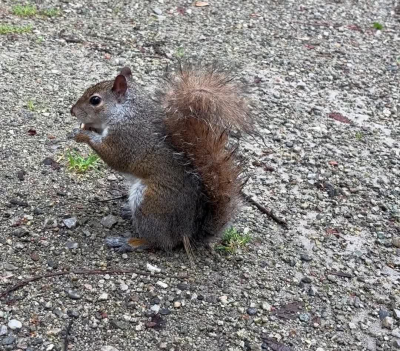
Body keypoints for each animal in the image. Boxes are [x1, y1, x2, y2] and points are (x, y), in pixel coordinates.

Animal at [70, 64, 253, 256]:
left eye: (95, 100)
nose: (72, 111)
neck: (125, 112)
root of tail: (186, 233)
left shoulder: (127, 138)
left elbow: (116, 157)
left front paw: (82, 134)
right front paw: (87, 128)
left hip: (151, 203)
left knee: (159, 242)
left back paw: (129, 242)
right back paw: (128, 211)